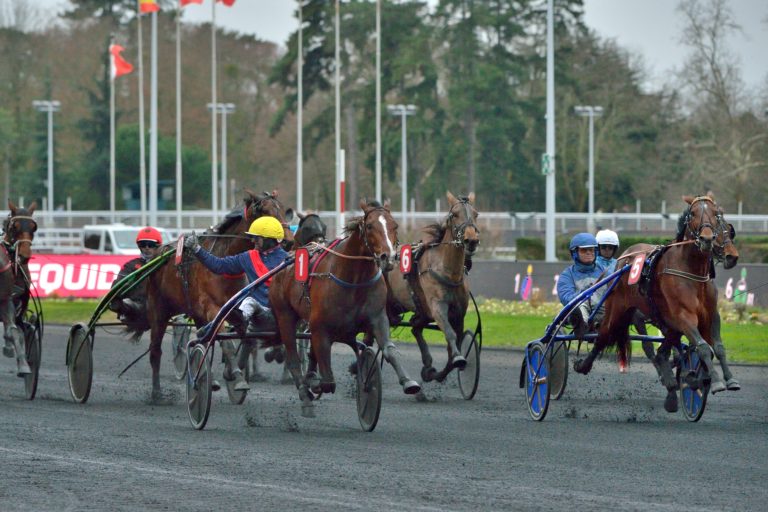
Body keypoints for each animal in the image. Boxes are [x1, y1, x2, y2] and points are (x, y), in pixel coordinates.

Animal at [146, 190, 294, 402]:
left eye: (282, 208)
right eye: (264, 211)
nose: (289, 240)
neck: (225, 255)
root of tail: (158, 253)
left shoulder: (233, 306)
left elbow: (241, 334)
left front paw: (230, 373)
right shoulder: (211, 307)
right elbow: (226, 340)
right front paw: (237, 378)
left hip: (194, 312)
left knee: (203, 337)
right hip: (158, 310)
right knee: (156, 351)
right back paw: (157, 393)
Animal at [270, 198, 424, 418]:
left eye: (394, 225)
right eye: (370, 226)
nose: (388, 257)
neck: (354, 279)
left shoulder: (378, 318)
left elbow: (389, 350)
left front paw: (408, 382)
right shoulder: (321, 327)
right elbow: (328, 381)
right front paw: (315, 385)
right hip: (285, 316)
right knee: (292, 358)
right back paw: (306, 397)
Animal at [384, 192, 480, 384]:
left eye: (476, 214)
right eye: (455, 214)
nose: (471, 240)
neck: (448, 272)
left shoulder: (458, 314)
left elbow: (454, 348)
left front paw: (433, 372)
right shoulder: (438, 307)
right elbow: (450, 334)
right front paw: (458, 359)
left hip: (421, 311)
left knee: (415, 327)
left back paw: (427, 363)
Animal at [576, 193, 732, 412]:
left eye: (717, 213)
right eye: (693, 213)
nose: (707, 239)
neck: (692, 271)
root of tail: (625, 257)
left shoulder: (709, 315)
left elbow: (717, 347)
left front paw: (725, 379)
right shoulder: (684, 315)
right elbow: (702, 347)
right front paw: (716, 381)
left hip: (664, 320)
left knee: (661, 352)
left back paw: (675, 386)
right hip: (619, 309)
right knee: (604, 336)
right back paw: (583, 365)